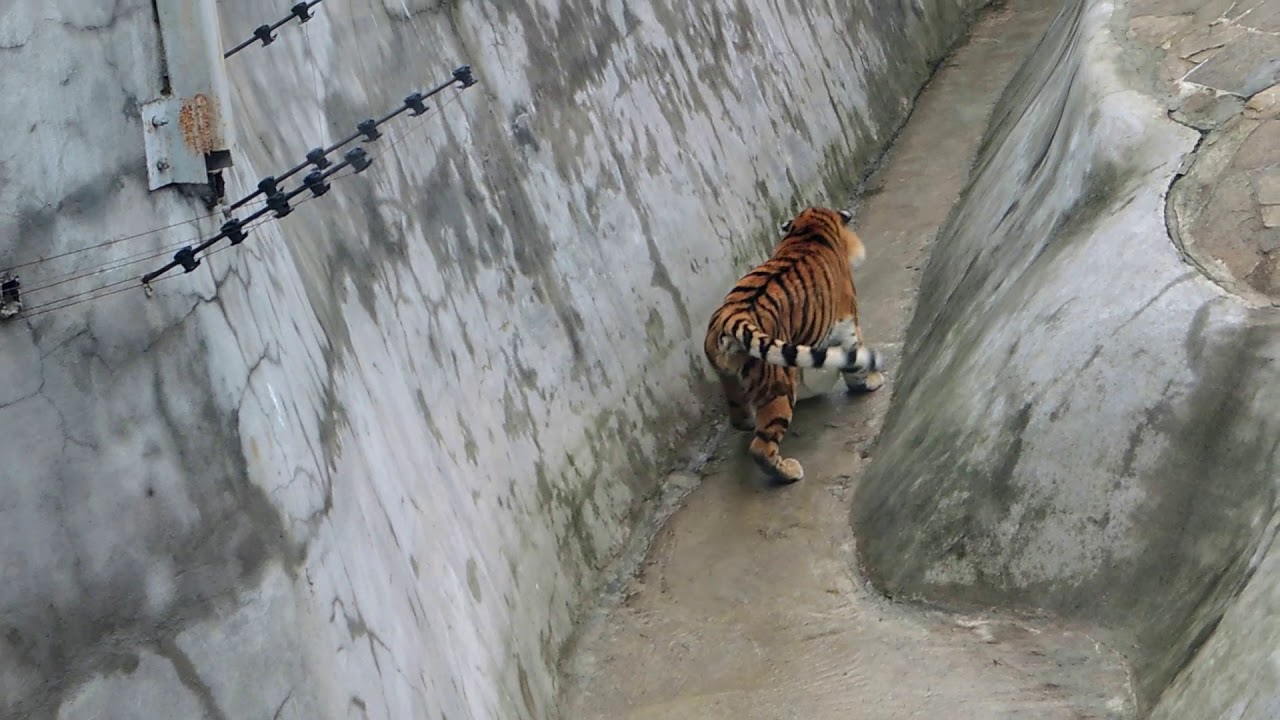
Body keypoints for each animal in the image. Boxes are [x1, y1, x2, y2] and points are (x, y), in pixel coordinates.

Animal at [703, 206, 886, 484]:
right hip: (778, 386)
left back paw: (746, 422)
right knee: (761, 447)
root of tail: (731, 316)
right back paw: (788, 472)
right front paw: (871, 382)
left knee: (737, 412)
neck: (809, 229)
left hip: (727, 376)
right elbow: (855, 363)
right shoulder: (847, 324)